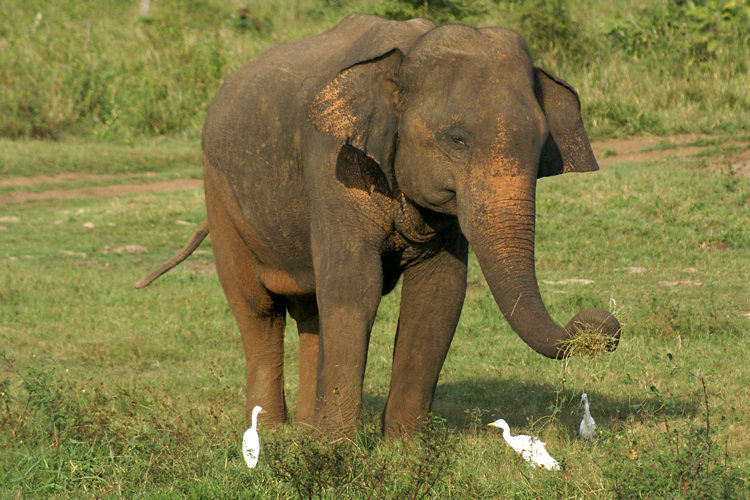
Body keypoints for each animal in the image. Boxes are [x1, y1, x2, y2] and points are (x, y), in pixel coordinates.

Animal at [135, 13, 624, 438]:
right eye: (457, 139)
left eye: (541, 144)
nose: (601, 325)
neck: (406, 55)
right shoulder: (333, 163)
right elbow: (356, 286)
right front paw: (336, 452)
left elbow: (438, 294)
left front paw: (405, 449)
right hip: (220, 193)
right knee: (257, 309)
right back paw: (271, 433)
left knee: (311, 309)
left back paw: (305, 429)